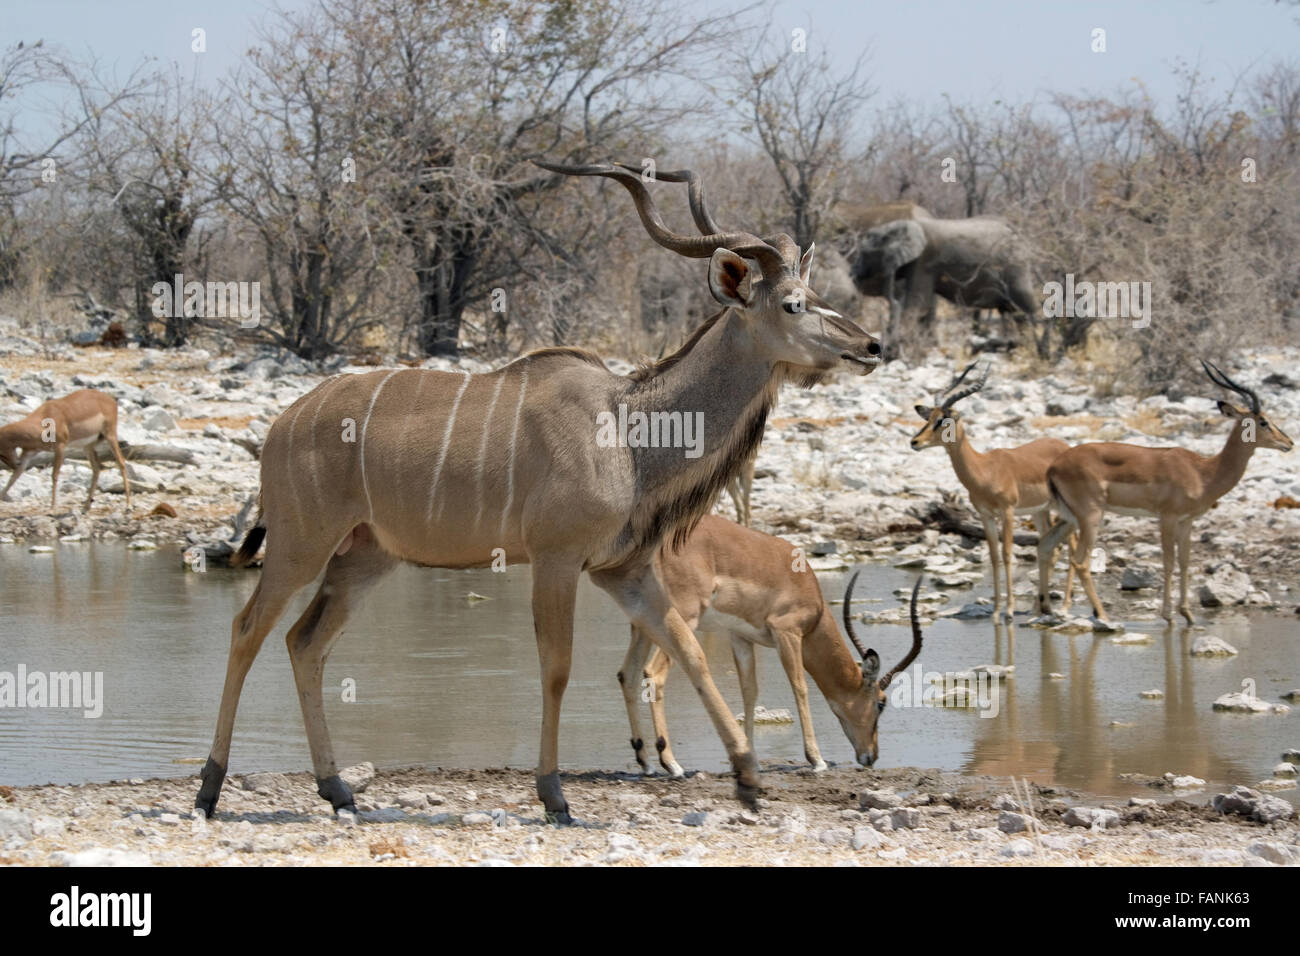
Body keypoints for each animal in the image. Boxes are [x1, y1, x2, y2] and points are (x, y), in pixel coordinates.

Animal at [850, 214, 1041, 360]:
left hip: (1015, 264)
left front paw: (896, 355)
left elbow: (917, 304)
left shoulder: (923, 262)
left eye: (864, 254)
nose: (853, 272)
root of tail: (1017, 232)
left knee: (1025, 305)